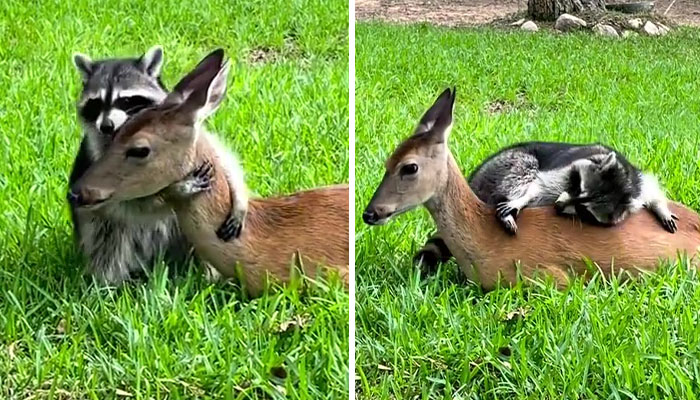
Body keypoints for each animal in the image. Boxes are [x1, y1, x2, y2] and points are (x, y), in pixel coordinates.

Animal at [414, 142, 677, 270]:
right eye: (576, 184)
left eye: (585, 212)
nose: (560, 206)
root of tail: (474, 181)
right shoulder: (566, 169)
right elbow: (539, 185)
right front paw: (520, 200)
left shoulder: (635, 183)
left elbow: (650, 189)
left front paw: (661, 207)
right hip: (502, 166)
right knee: (525, 166)